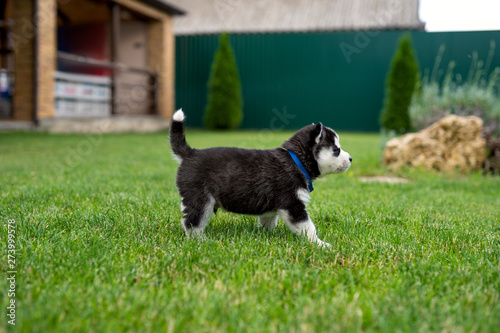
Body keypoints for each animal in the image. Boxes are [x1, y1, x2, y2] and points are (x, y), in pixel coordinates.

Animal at [171, 109, 352, 246]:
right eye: (336, 150)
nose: (350, 158)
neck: (295, 160)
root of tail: (190, 153)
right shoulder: (293, 205)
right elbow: (308, 228)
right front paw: (320, 244)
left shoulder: (273, 209)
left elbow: (268, 222)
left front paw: (266, 236)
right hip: (200, 200)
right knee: (191, 222)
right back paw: (200, 240)